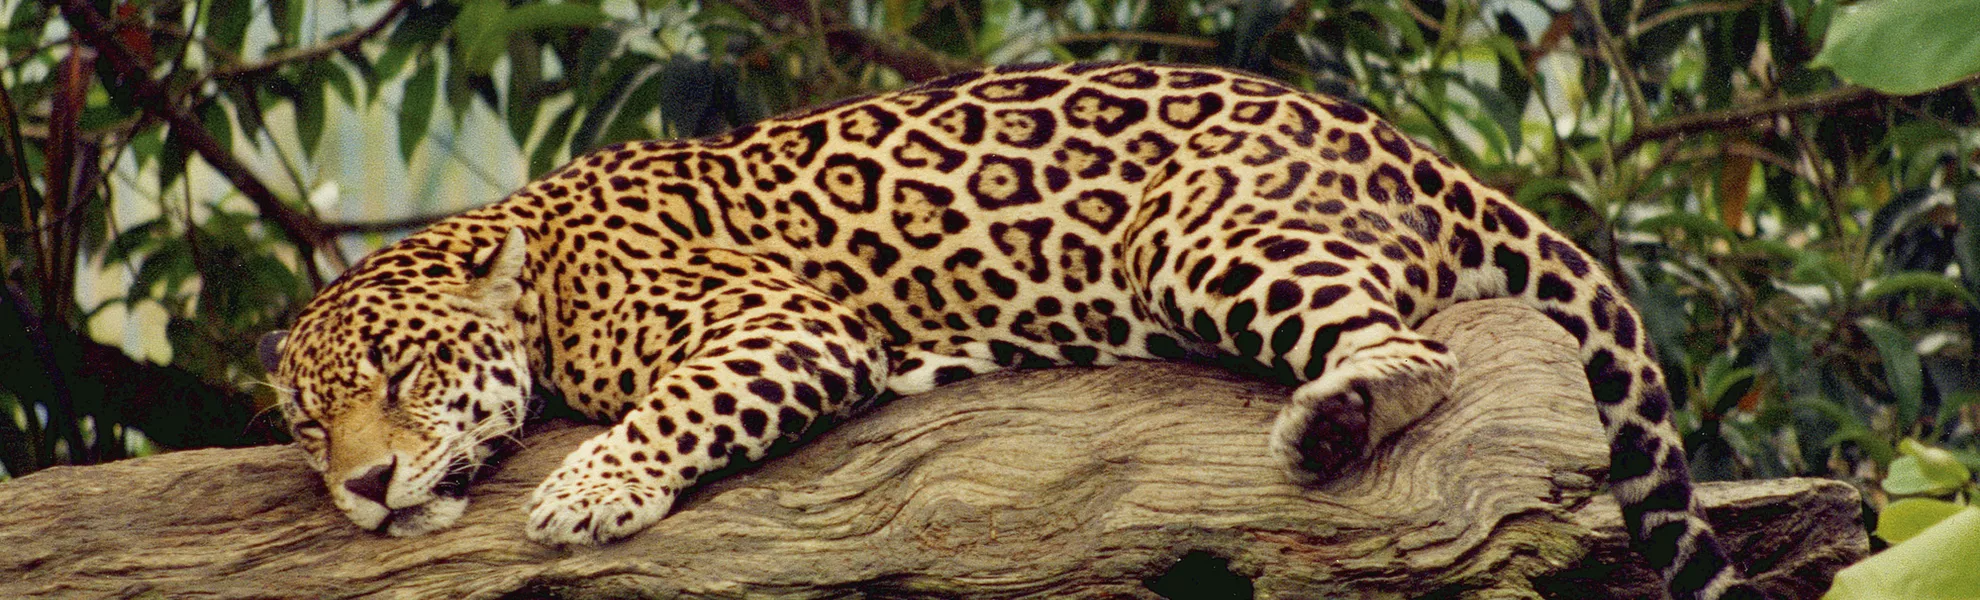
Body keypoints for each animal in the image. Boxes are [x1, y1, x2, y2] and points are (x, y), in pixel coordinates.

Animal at [257, 61, 1764, 600]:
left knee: (1420, 348)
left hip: (1201, 234)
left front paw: (586, 491)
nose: (368, 484)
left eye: (405, 371)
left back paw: (1336, 417)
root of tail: (1400, 140)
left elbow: (675, 407)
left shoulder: (788, 324)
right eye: (308, 423)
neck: (547, 276)